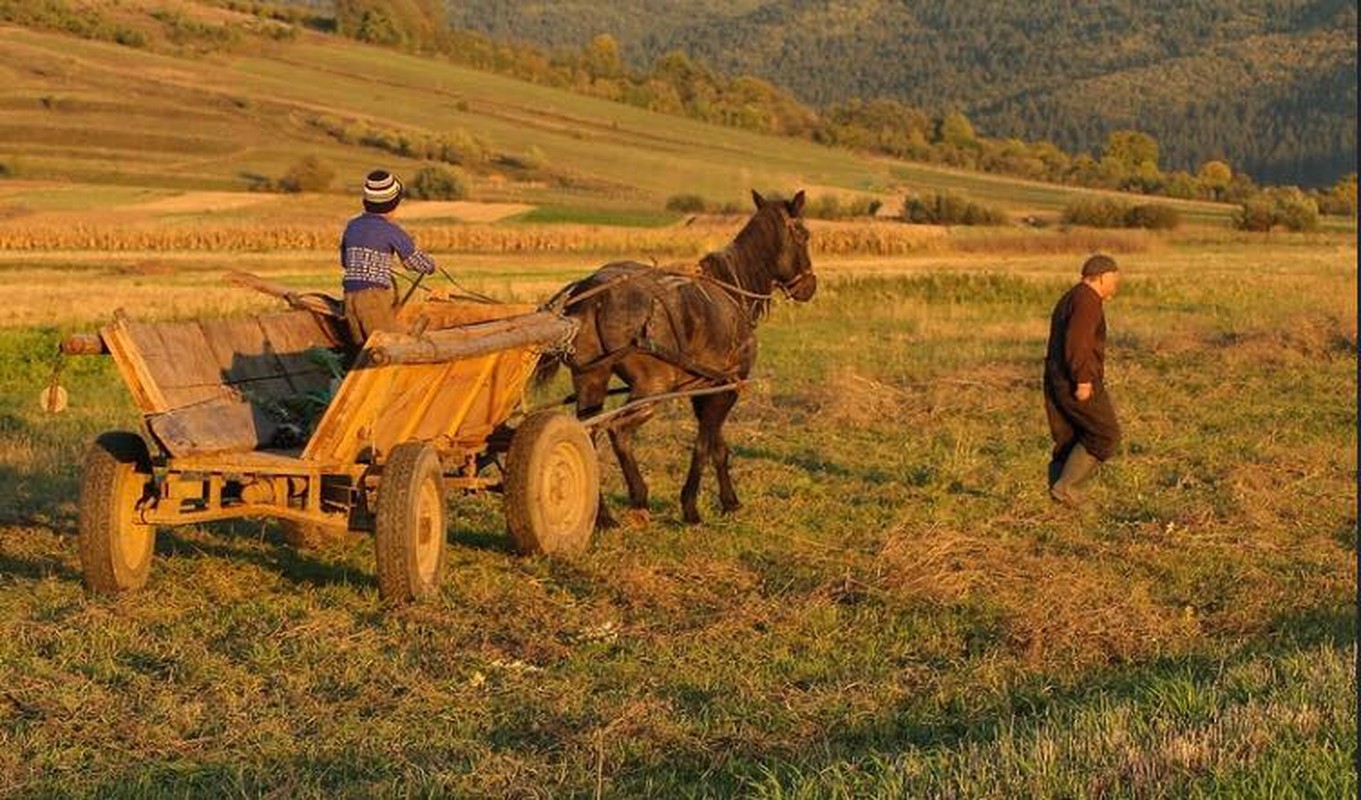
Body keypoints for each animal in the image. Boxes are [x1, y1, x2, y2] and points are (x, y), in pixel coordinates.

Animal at [541, 187, 816, 525]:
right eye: (804, 235)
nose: (810, 286)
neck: (733, 291)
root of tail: (595, 292)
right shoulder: (727, 388)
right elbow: (703, 446)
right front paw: (691, 507)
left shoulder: (707, 390)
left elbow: (718, 447)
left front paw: (729, 501)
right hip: (651, 389)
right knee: (618, 431)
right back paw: (639, 498)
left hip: (591, 379)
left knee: (587, 433)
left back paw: (603, 516)